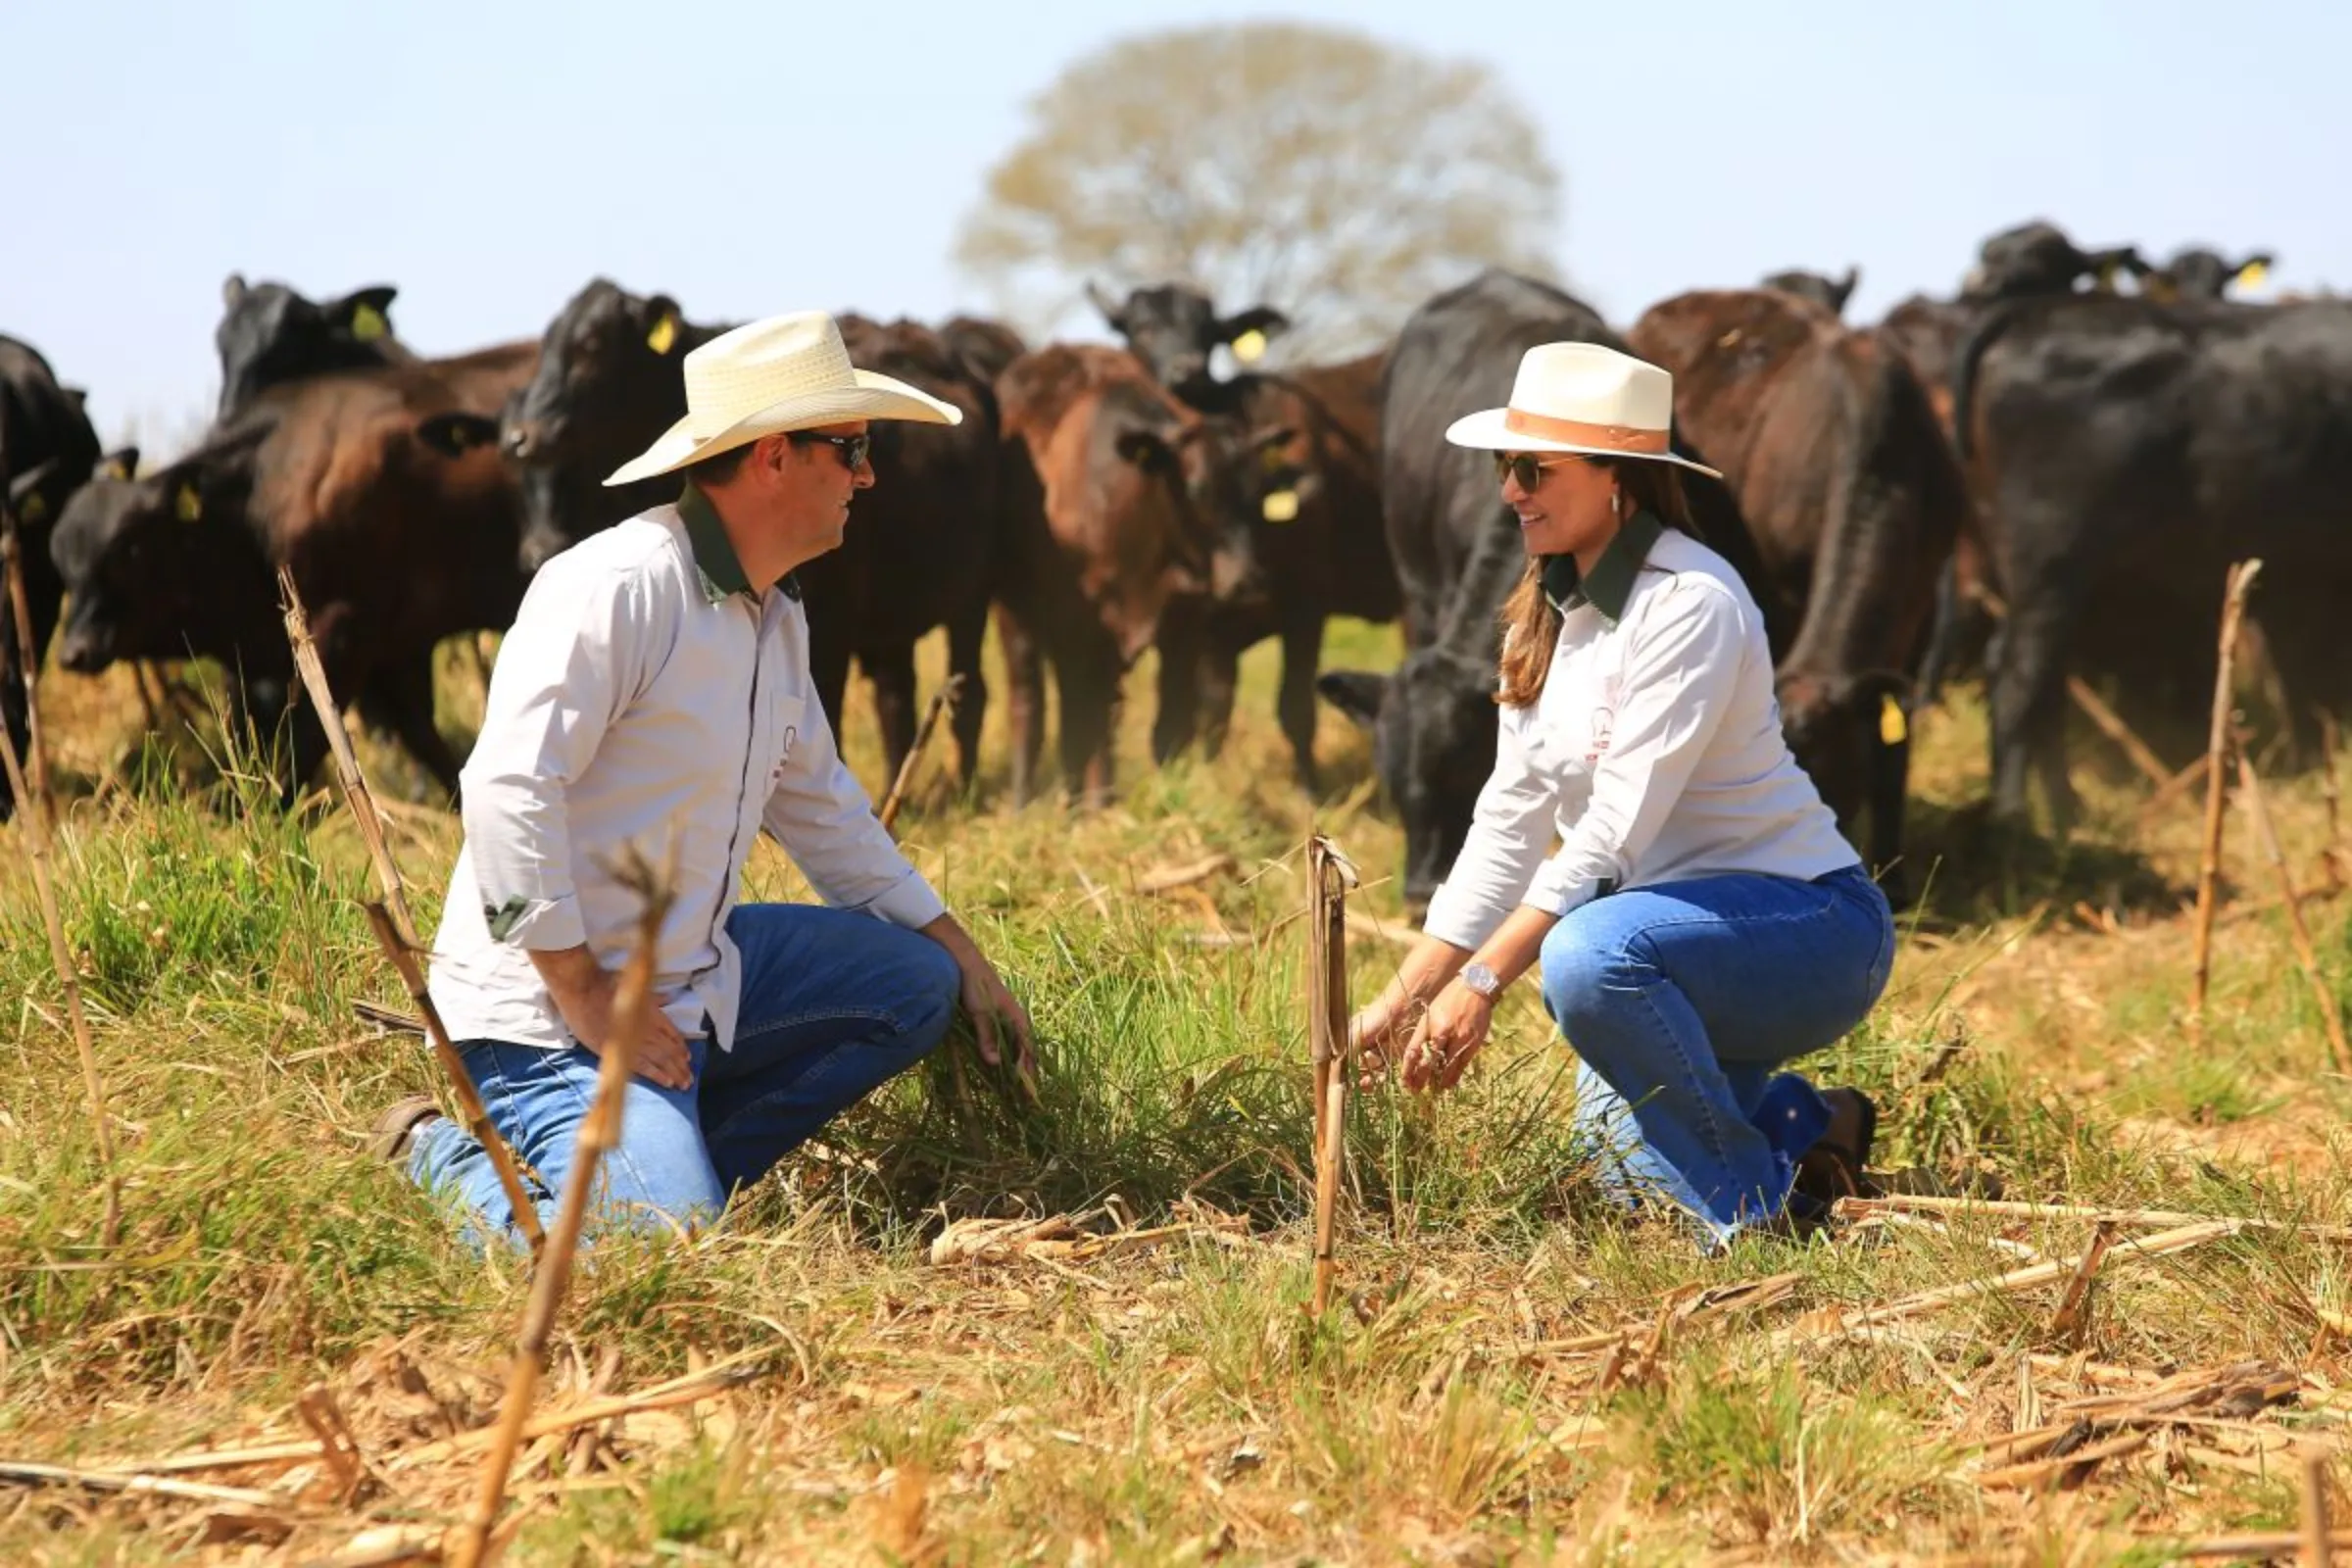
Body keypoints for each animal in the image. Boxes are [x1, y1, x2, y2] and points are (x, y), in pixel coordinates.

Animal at [501, 281, 997, 785]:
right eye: (546, 344)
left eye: (592, 344)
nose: (522, 438)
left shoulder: (833, 625)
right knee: (896, 699)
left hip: (973, 598)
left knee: (968, 694)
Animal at [988, 348, 1260, 804]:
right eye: (1199, 488)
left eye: (1260, 490)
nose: (1246, 580)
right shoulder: (1089, 629)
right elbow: (1094, 725)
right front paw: (1100, 805)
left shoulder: (1183, 627)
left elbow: (1170, 724)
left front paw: (1166, 793)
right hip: (1018, 614)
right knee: (1030, 705)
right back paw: (1027, 802)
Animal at [1937, 297, 2352, 832]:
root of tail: (2036, 310)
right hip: (2050, 559)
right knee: (2018, 678)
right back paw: (2014, 817)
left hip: (2058, 575)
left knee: (2040, 682)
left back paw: (2065, 811)